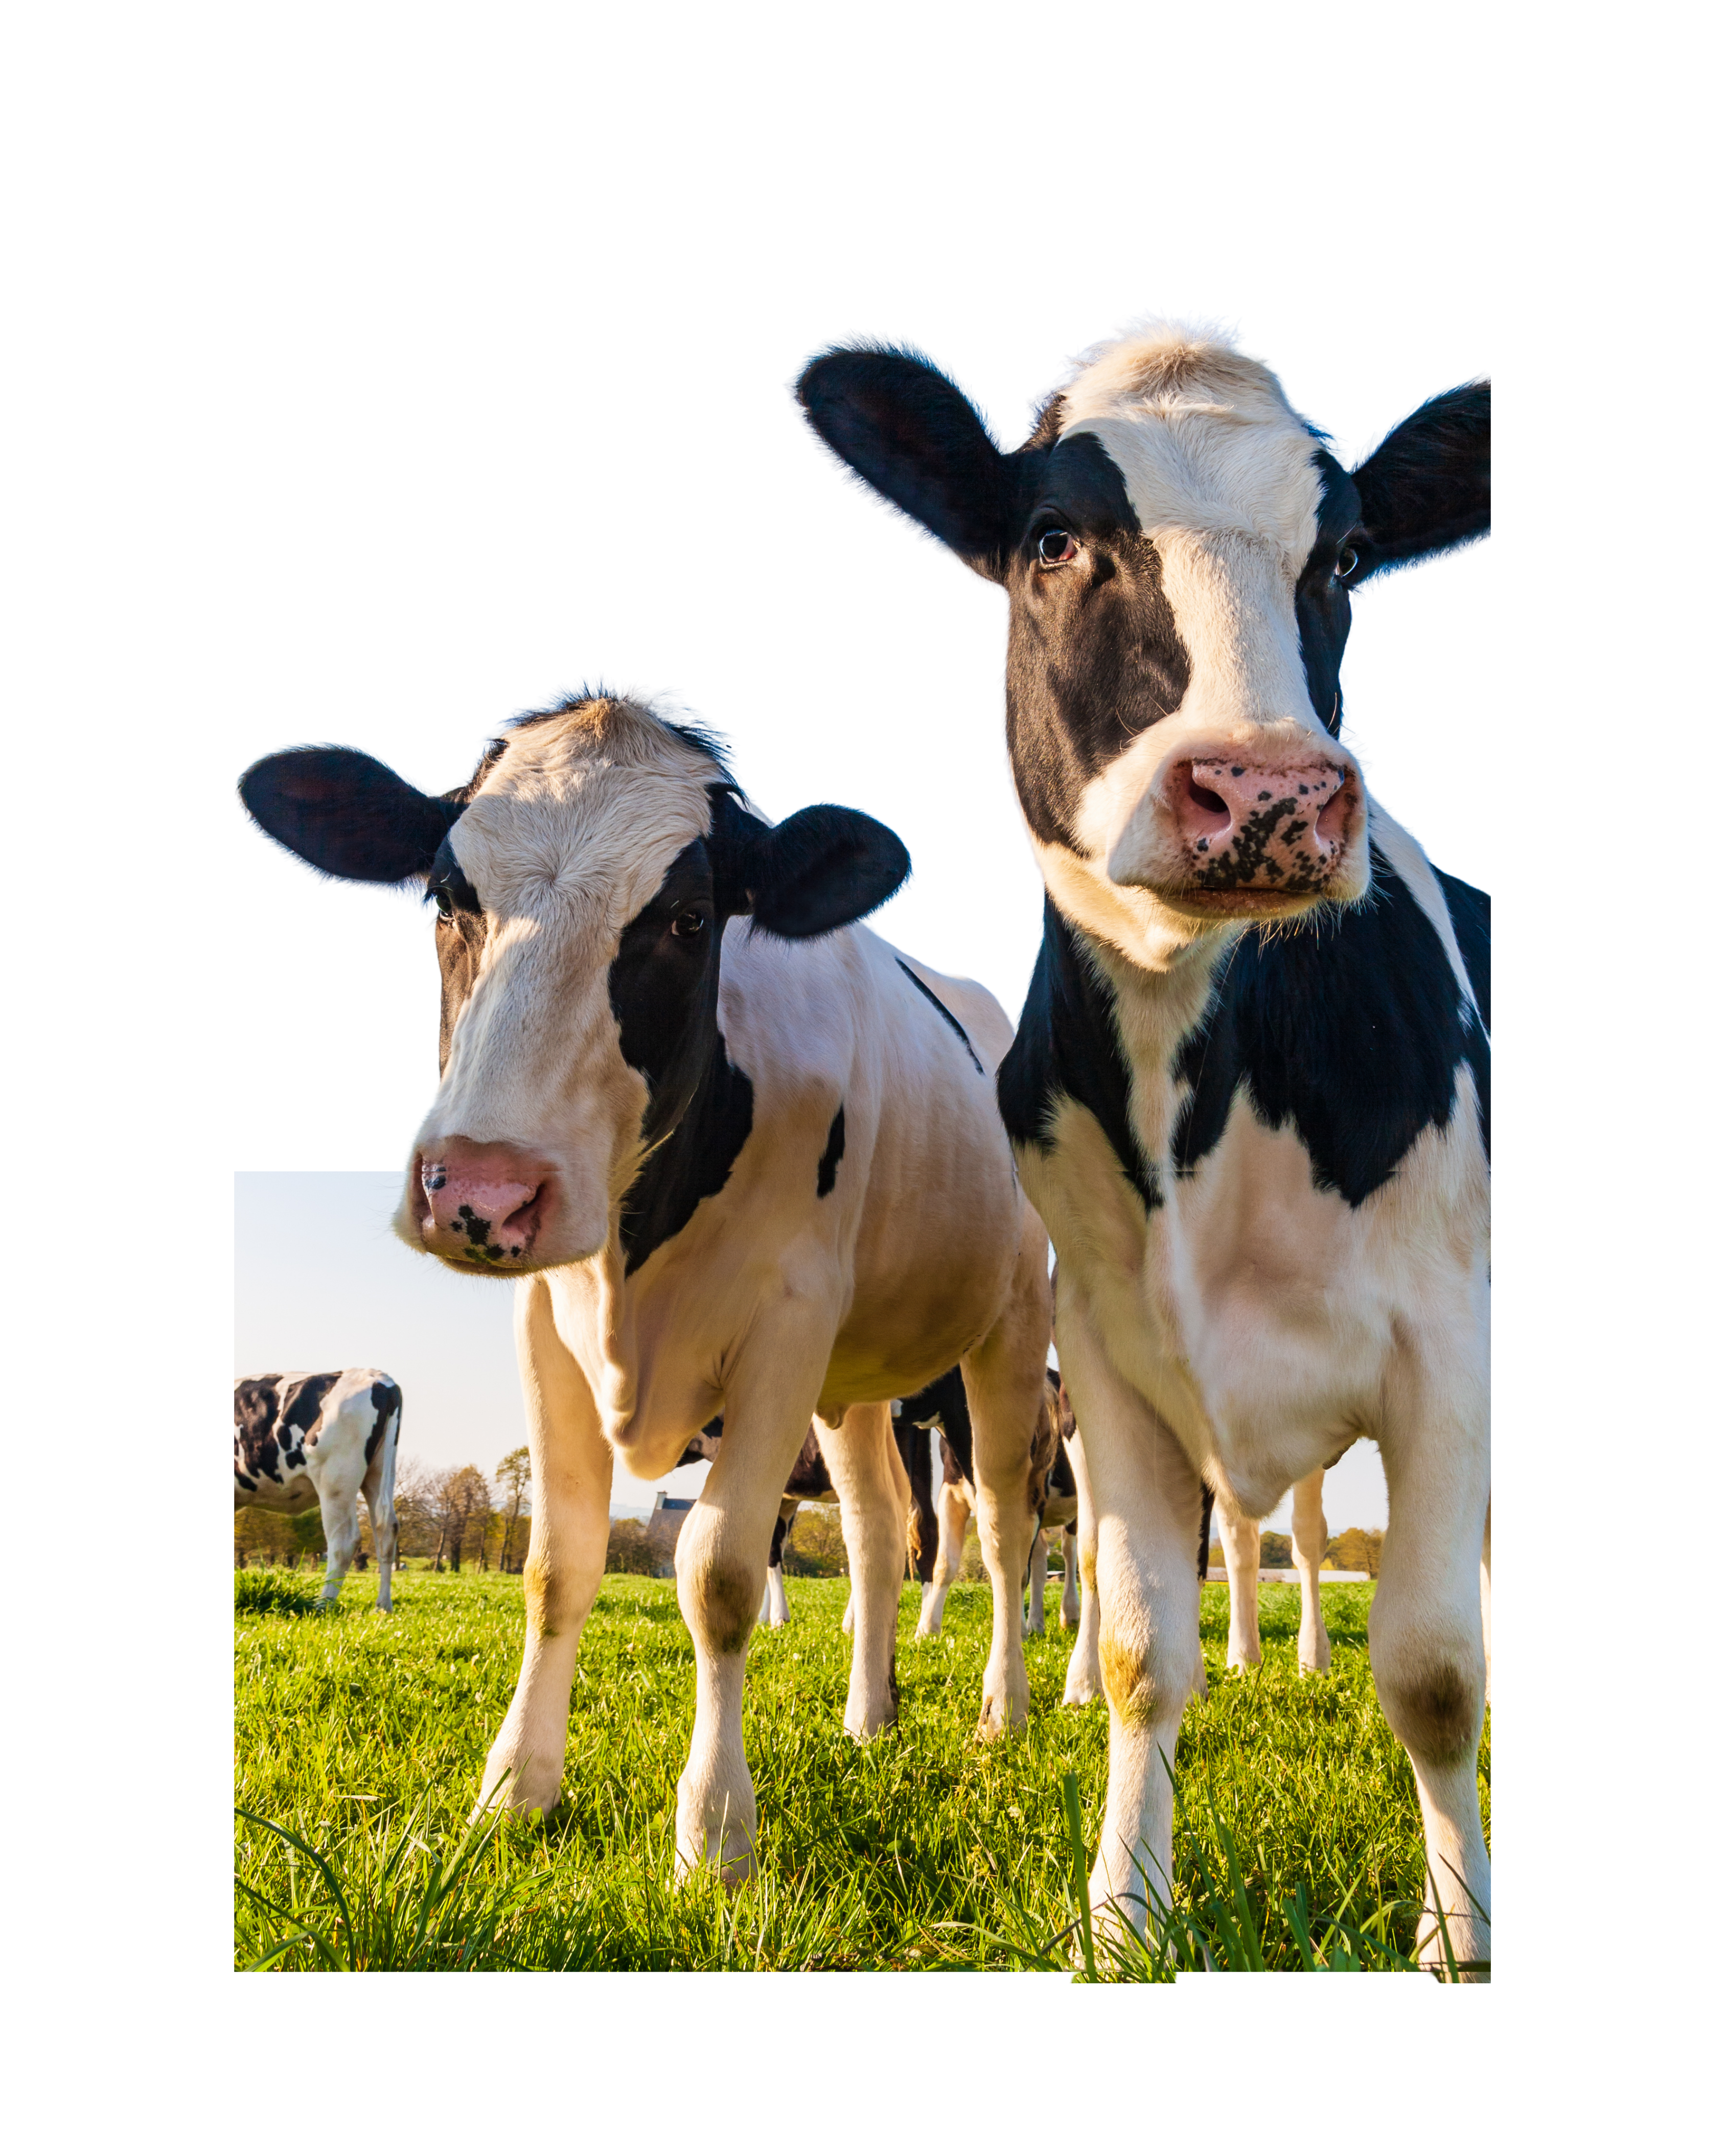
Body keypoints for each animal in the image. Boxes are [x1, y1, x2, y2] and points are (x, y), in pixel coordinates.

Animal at [233, 1368, 402, 1610]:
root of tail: (379, 1378)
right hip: (378, 1473)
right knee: (386, 1531)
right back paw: (383, 1606)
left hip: (335, 1480)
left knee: (344, 1541)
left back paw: (324, 1604)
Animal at [789, 312, 1491, 1972]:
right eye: (1056, 538)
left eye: (1346, 552)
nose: (1272, 791)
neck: (1197, 1076)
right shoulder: (1106, 1356)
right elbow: (1131, 1647)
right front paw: (1124, 1910)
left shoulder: (1447, 1344)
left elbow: (1436, 1668)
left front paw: (1460, 1928)